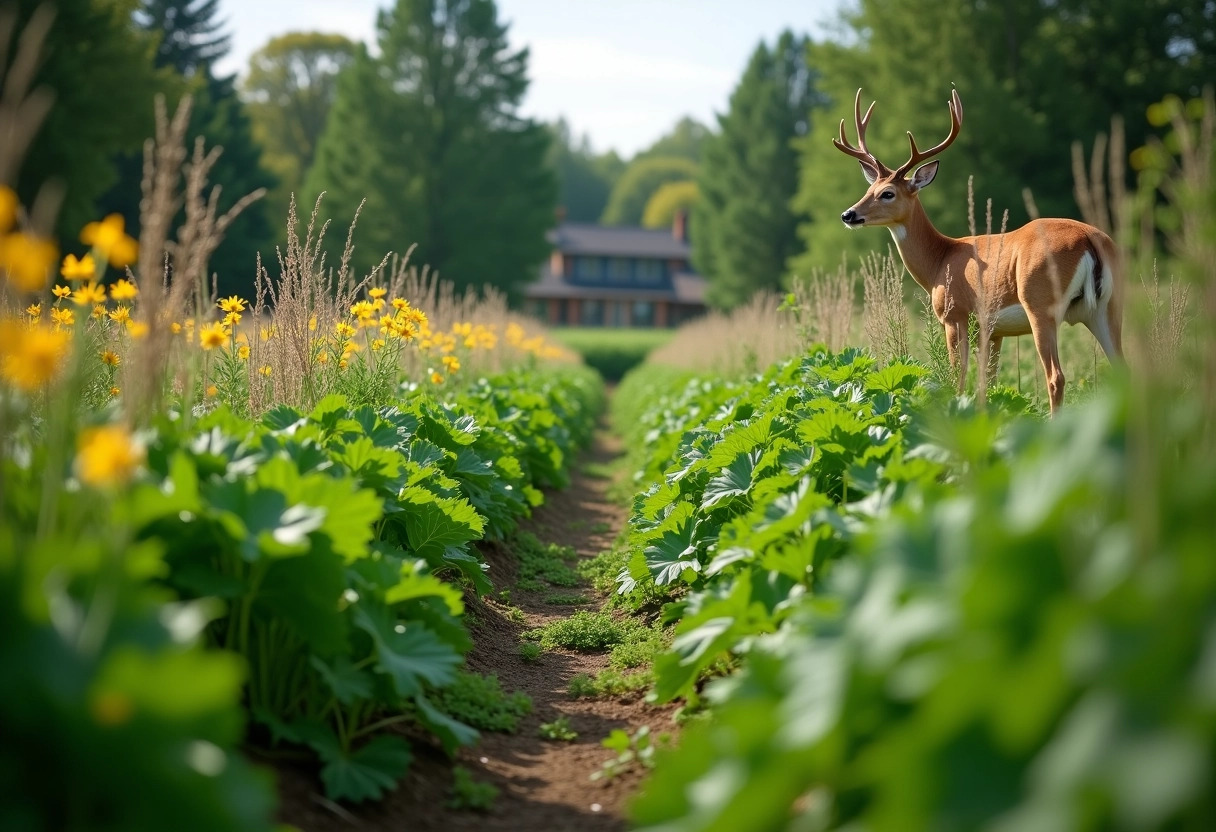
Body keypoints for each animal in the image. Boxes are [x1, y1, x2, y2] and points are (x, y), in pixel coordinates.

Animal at [831, 89, 1123, 413]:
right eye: (868, 190)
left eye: (887, 193)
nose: (848, 214)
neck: (939, 260)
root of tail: (1088, 239)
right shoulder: (994, 331)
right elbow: (988, 384)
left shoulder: (954, 316)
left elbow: (957, 377)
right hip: (1109, 306)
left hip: (1041, 306)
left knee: (1056, 376)